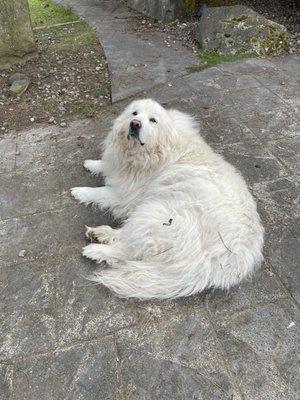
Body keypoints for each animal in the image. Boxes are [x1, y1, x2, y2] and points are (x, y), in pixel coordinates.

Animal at [71, 98, 264, 298]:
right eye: (134, 113)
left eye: (153, 120)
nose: (134, 124)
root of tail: (212, 264)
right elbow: (107, 165)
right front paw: (92, 164)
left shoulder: (125, 195)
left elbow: (101, 191)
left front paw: (80, 191)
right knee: (129, 238)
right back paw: (100, 234)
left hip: (157, 211)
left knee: (129, 248)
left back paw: (97, 250)